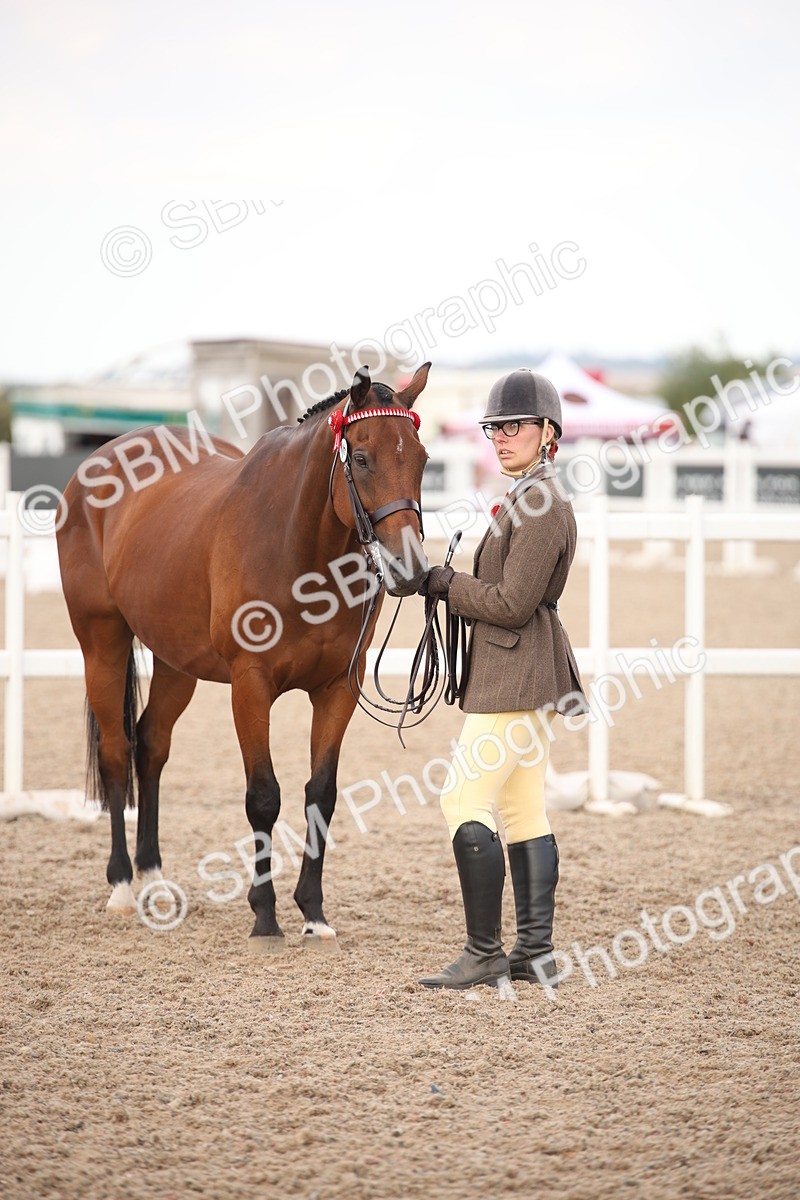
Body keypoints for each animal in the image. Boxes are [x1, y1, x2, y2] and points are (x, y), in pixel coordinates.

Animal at [56, 363, 431, 948]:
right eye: (362, 458)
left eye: (423, 458)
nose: (409, 570)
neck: (299, 549)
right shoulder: (250, 684)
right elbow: (264, 797)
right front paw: (265, 915)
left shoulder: (337, 690)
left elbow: (320, 795)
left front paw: (313, 913)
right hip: (102, 643)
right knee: (117, 752)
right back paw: (120, 885)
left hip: (175, 663)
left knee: (150, 745)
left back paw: (154, 878)